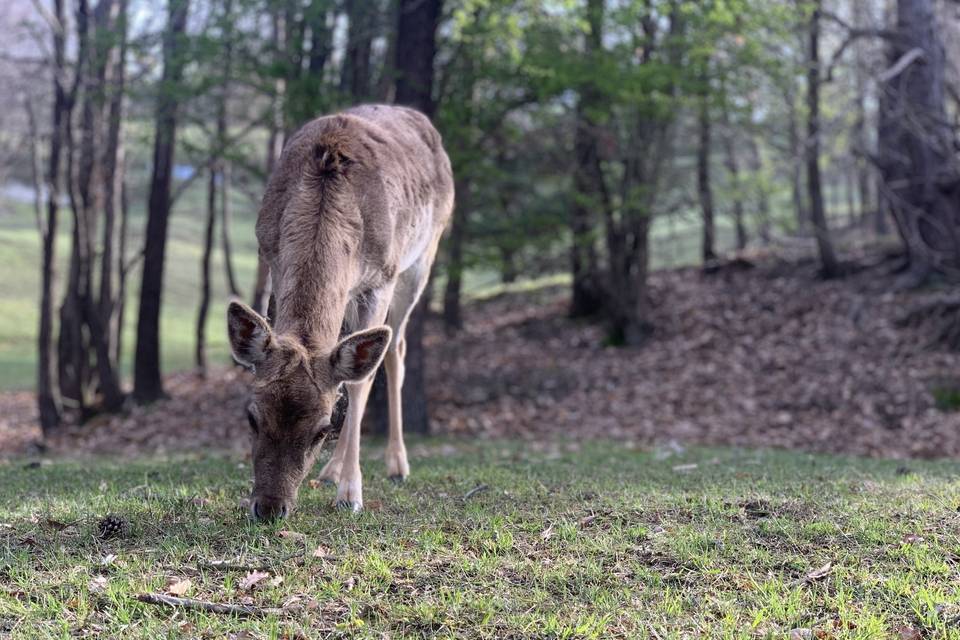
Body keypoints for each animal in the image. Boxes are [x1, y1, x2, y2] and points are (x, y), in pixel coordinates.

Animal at [226, 104, 454, 520]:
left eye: (321, 429)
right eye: (251, 416)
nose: (269, 508)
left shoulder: (381, 277)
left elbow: (361, 381)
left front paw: (351, 494)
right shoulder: (272, 257)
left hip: (421, 260)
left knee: (394, 351)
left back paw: (396, 465)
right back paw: (330, 472)